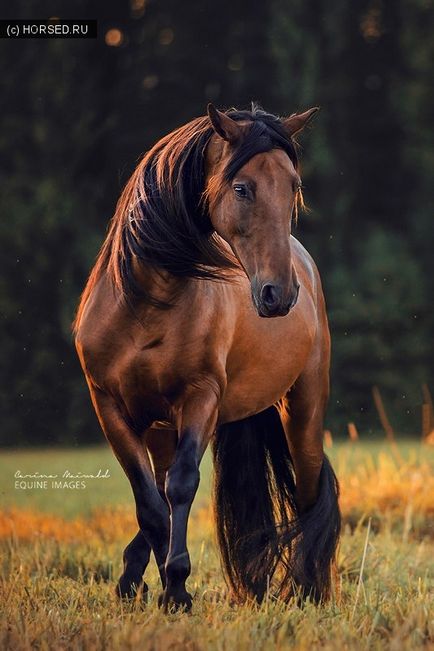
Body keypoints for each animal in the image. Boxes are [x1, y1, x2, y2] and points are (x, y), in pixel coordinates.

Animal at [73, 104, 340, 612]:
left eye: (293, 186)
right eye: (242, 188)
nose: (280, 294)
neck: (145, 305)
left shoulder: (200, 399)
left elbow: (180, 484)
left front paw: (177, 586)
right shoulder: (109, 408)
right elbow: (150, 502)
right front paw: (162, 583)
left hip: (303, 409)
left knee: (309, 489)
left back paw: (309, 589)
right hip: (160, 425)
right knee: (158, 493)